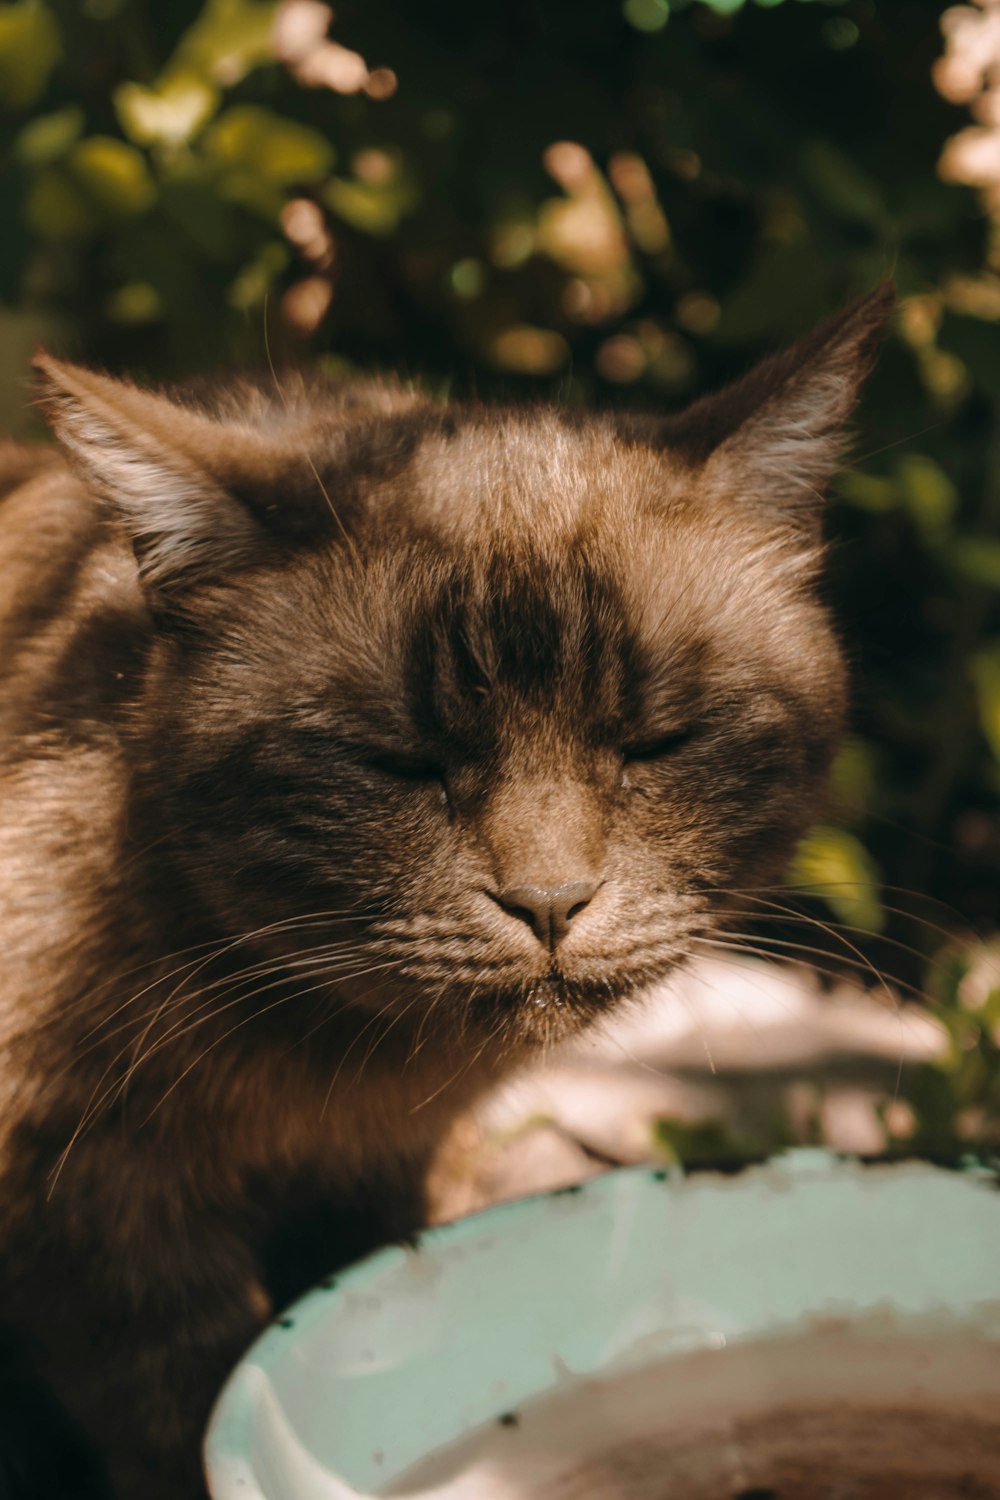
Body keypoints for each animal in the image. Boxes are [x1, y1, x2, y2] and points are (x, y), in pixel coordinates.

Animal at [0, 279, 893, 1488]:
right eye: (398, 761)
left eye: (655, 742)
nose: (550, 903)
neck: (334, 1075)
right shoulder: (90, 1207)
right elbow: (175, 1407)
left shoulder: (380, 1170)